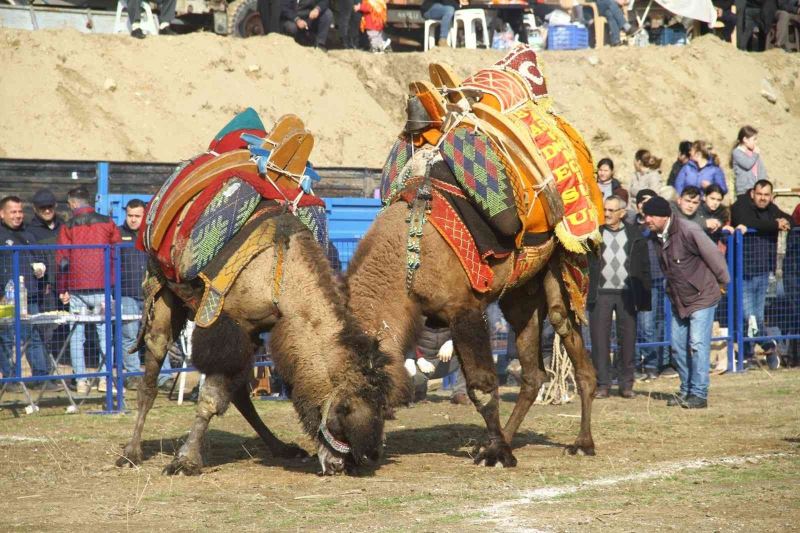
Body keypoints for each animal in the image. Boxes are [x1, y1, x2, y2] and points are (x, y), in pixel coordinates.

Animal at [346, 191, 596, 466]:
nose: (344, 456)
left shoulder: (465, 309)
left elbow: (481, 384)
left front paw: (497, 454)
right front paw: (497, 448)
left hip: (562, 264)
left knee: (562, 323)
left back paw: (582, 443)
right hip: (520, 293)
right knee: (534, 373)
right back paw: (505, 438)